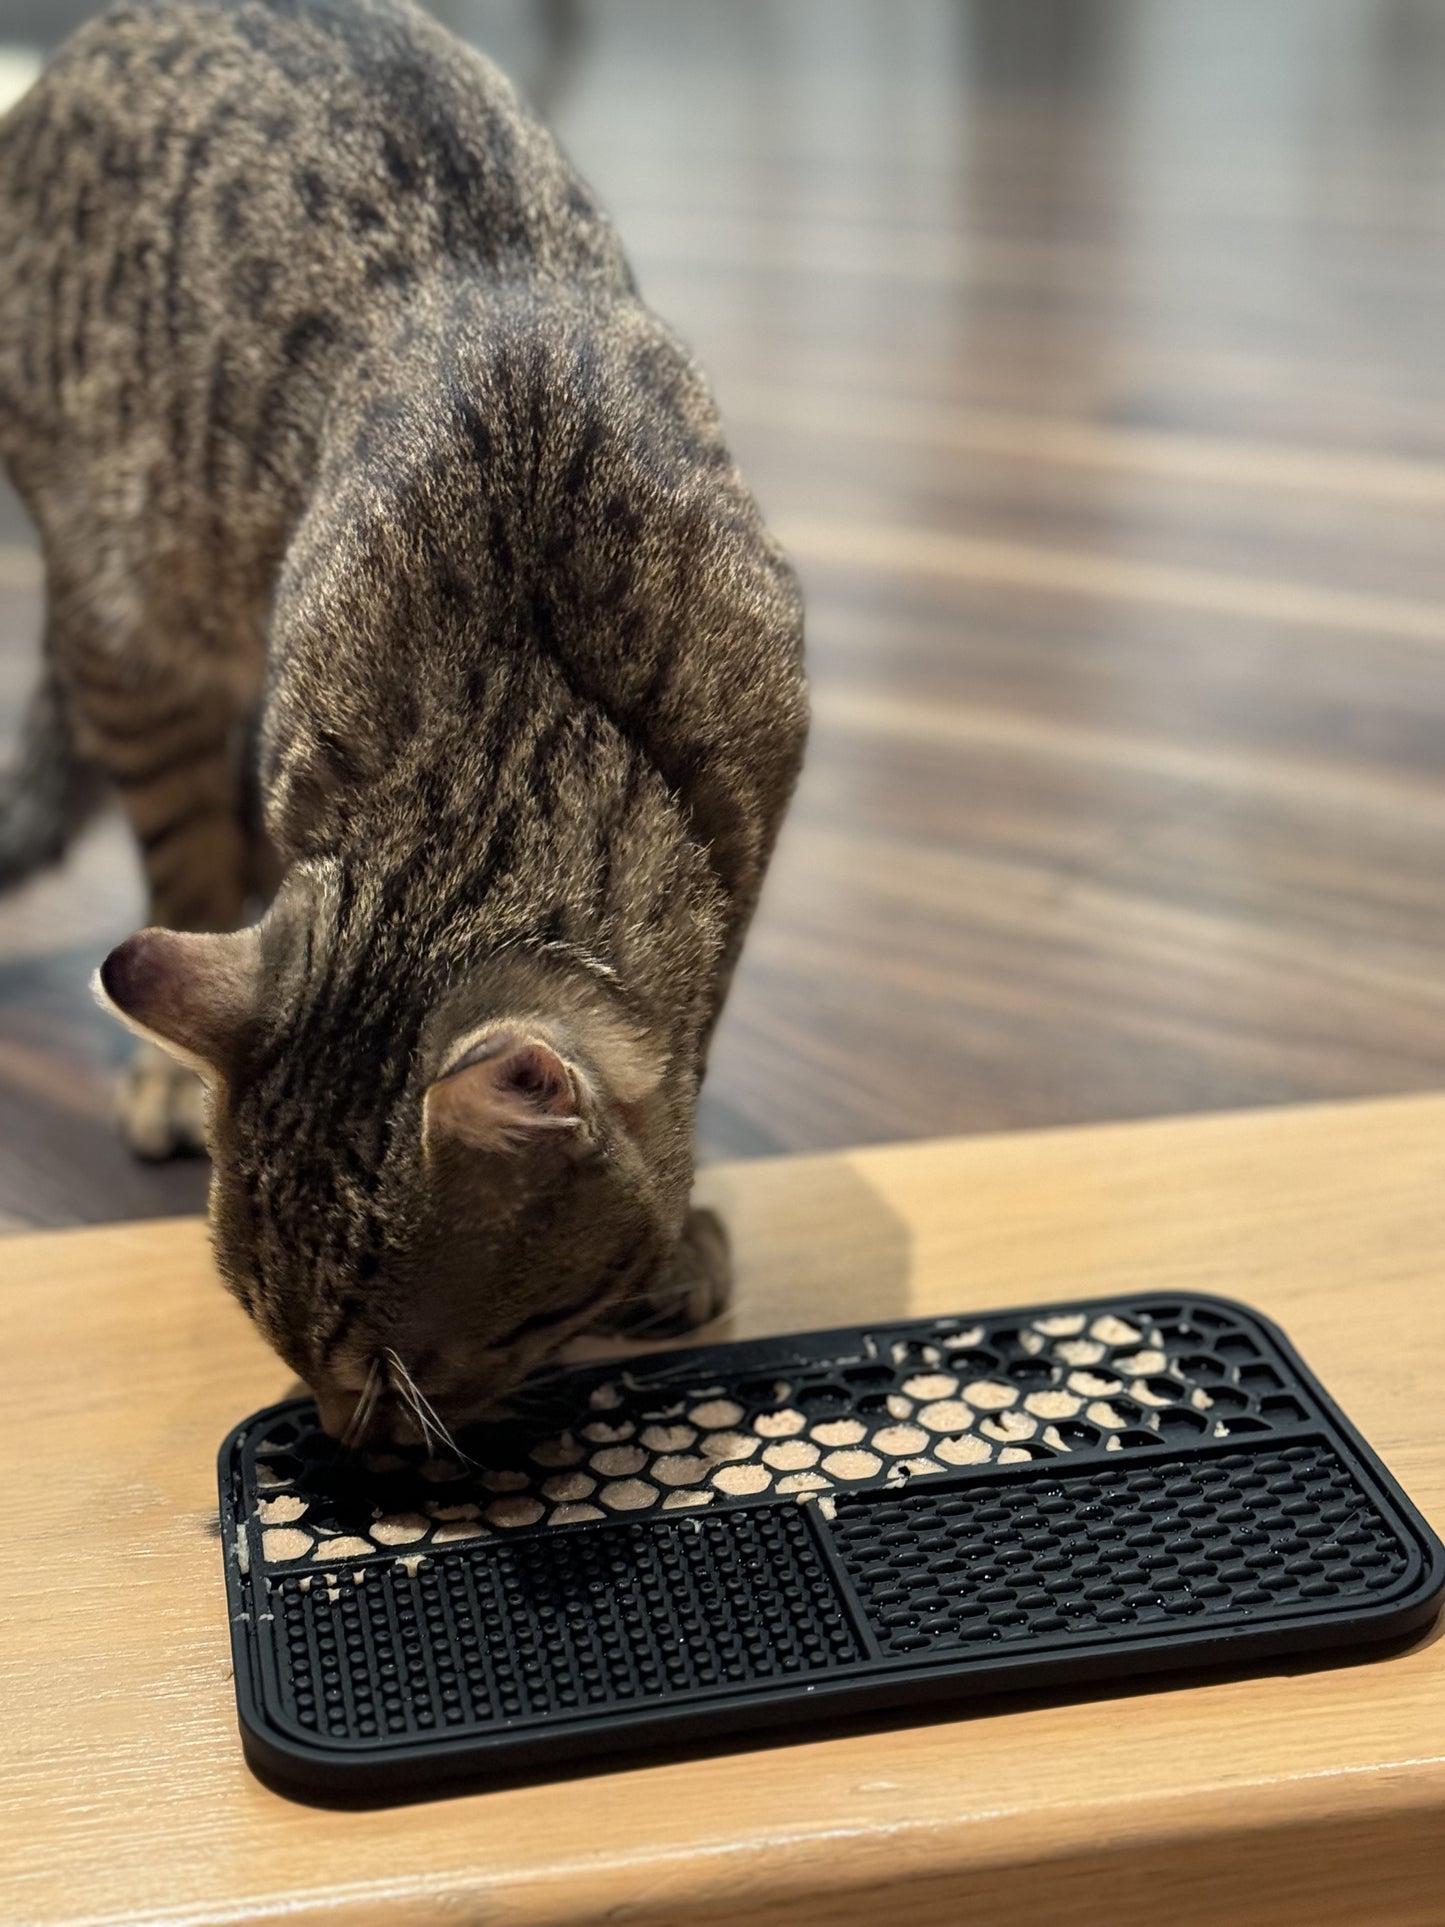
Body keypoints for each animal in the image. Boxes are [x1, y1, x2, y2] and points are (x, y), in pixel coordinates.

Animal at [0, 0, 809, 1449]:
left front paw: (679, 1236)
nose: (340, 1436)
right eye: (270, 1333)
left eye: (397, 1374)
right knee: (183, 851)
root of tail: (87, 44)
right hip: (134, 628)